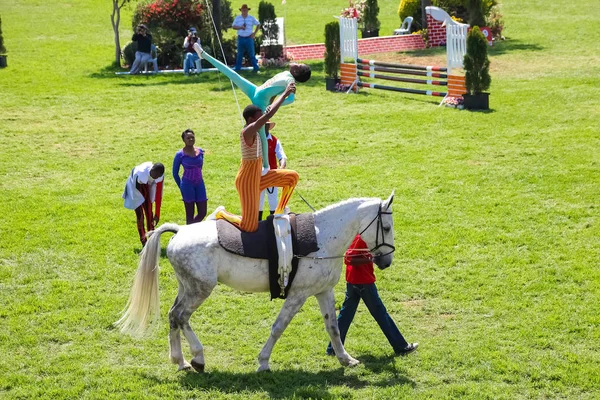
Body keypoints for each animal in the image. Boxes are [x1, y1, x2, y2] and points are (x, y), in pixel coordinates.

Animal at [117, 191, 398, 372]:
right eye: (386, 228)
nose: (386, 261)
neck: (323, 237)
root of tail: (180, 230)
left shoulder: (323, 291)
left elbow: (334, 328)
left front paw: (345, 359)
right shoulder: (298, 295)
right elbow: (278, 327)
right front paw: (263, 362)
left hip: (187, 288)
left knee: (172, 316)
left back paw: (181, 360)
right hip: (200, 290)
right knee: (181, 316)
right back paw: (197, 358)